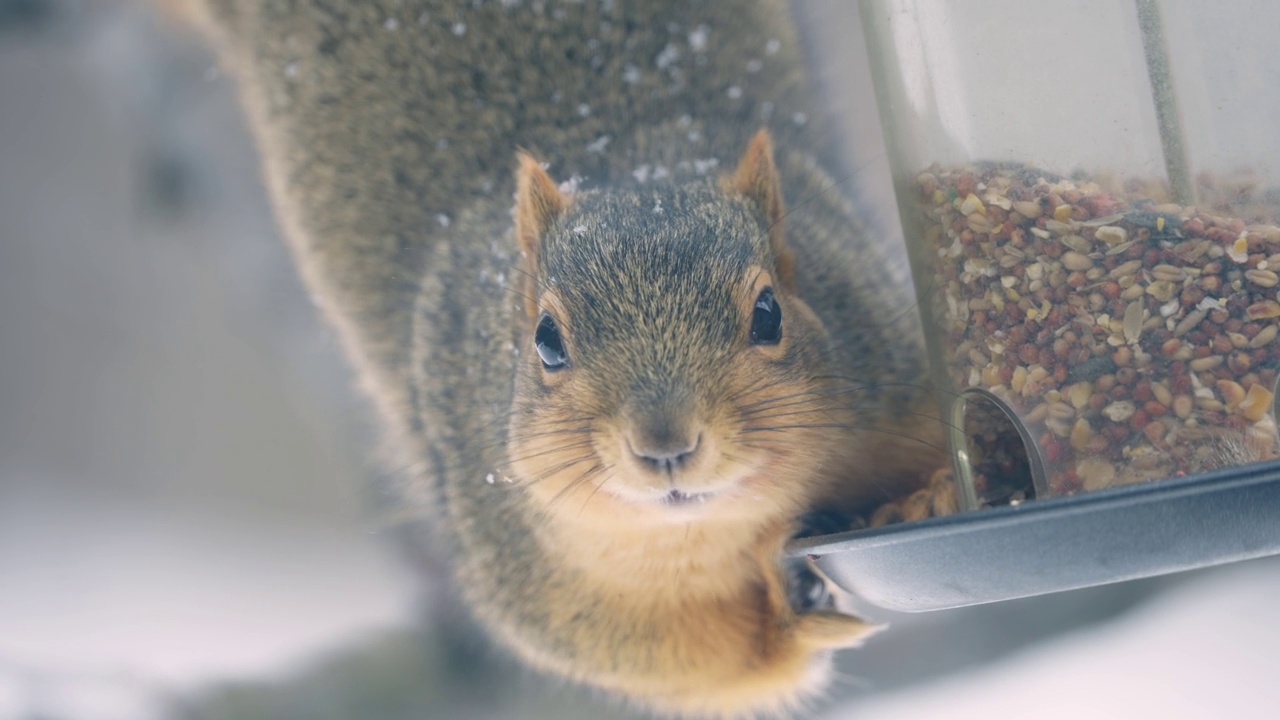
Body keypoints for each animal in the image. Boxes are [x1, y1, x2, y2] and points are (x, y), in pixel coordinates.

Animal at [160, 0, 947, 712]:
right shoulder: (526, 571)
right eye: (545, 340)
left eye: (768, 313)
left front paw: (929, 496)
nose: (665, 446)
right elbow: (701, 661)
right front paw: (786, 621)